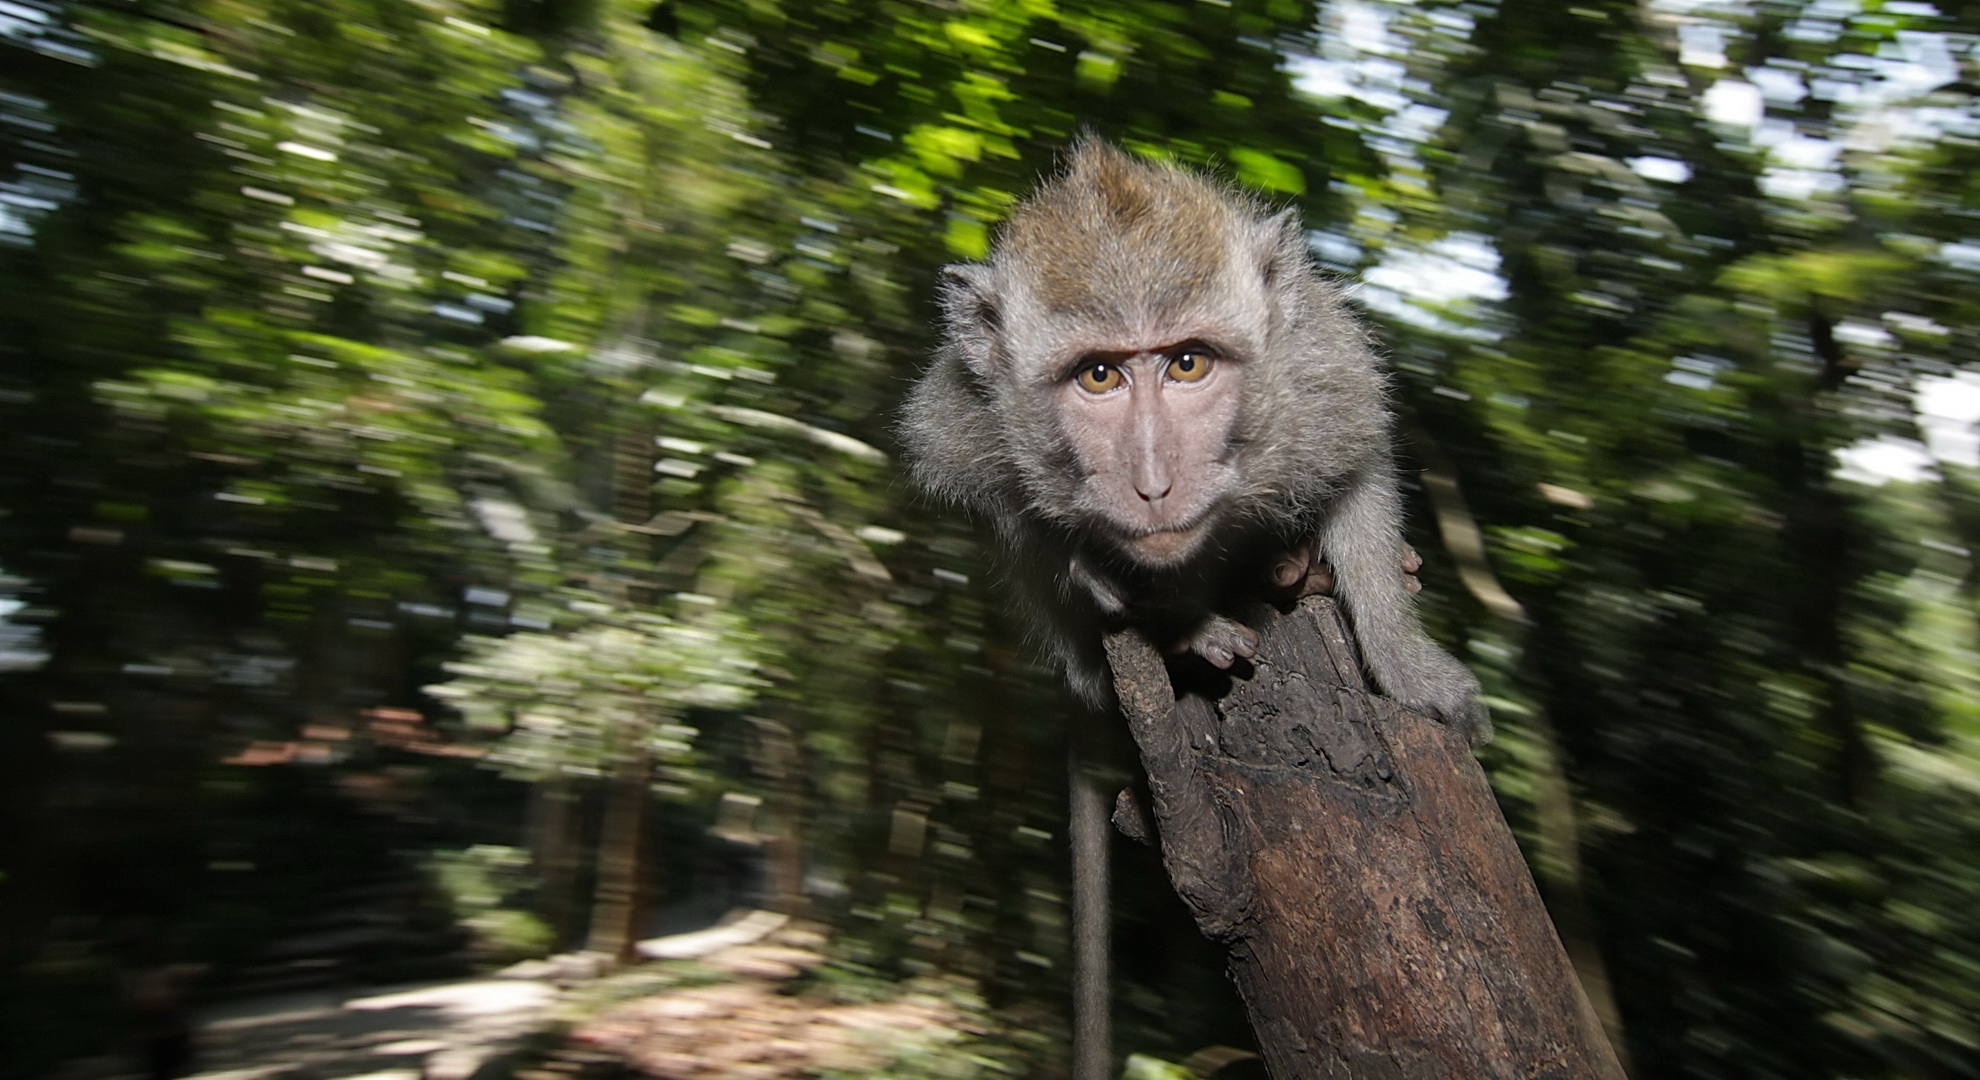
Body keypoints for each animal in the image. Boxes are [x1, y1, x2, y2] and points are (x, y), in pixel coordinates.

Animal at [898, 140, 1488, 1078]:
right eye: (1100, 374)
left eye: (1187, 365)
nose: (1151, 480)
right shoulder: (966, 419)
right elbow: (996, 502)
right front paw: (1139, 597)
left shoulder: (1317, 378)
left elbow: (1358, 464)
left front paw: (1405, 664)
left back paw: (1298, 574)